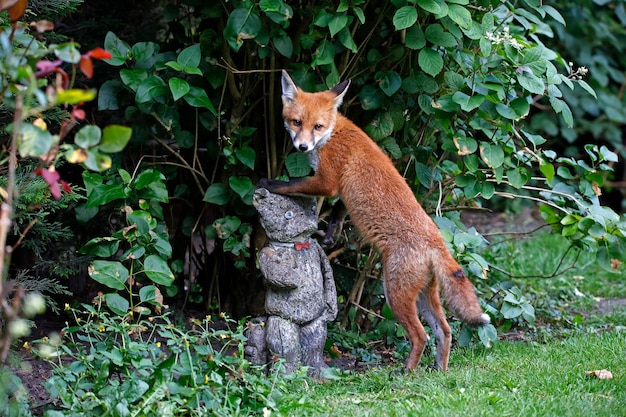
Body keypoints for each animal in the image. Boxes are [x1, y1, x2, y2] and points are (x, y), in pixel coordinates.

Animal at [256, 69, 490, 370]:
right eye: (296, 122)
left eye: (317, 126)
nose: (302, 146)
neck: (334, 133)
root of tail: (436, 241)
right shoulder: (342, 191)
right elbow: (338, 211)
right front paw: (331, 235)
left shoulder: (326, 181)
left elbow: (290, 184)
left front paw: (268, 183)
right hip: (424, 296)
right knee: (445, 331)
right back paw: (439, 371)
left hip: (395, 295)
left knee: (421, 335)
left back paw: (407, 373)